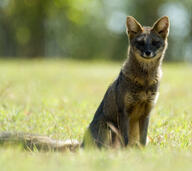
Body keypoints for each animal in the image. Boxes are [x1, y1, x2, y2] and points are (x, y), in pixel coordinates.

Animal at [0, 16, 169, 152]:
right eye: (140, 43)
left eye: (155, 43)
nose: (147, 52)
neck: (144, 81)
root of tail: (82, 144)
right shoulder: (124, 112)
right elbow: (125, 141)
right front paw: (127, 155)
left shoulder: (146, 112)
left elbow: (142, 140)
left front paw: (141, 154)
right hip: (108, 128)